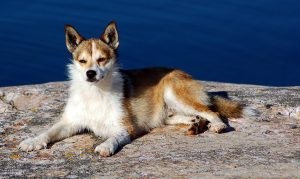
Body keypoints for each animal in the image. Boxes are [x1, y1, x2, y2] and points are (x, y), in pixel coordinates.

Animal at [18, 21, 255, 157]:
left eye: (102, 59)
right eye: (82, 61)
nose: (90, 74)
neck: (96, 93)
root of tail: (184, 73)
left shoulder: (126, 128)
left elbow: (113, 138)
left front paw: (106, 146)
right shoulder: (70, 122)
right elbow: (48, 131)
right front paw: (33, 141)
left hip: (174, 93)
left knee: (211, 111)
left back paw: (217, 126)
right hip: (168, 114)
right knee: (195, 116)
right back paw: (196, 126)